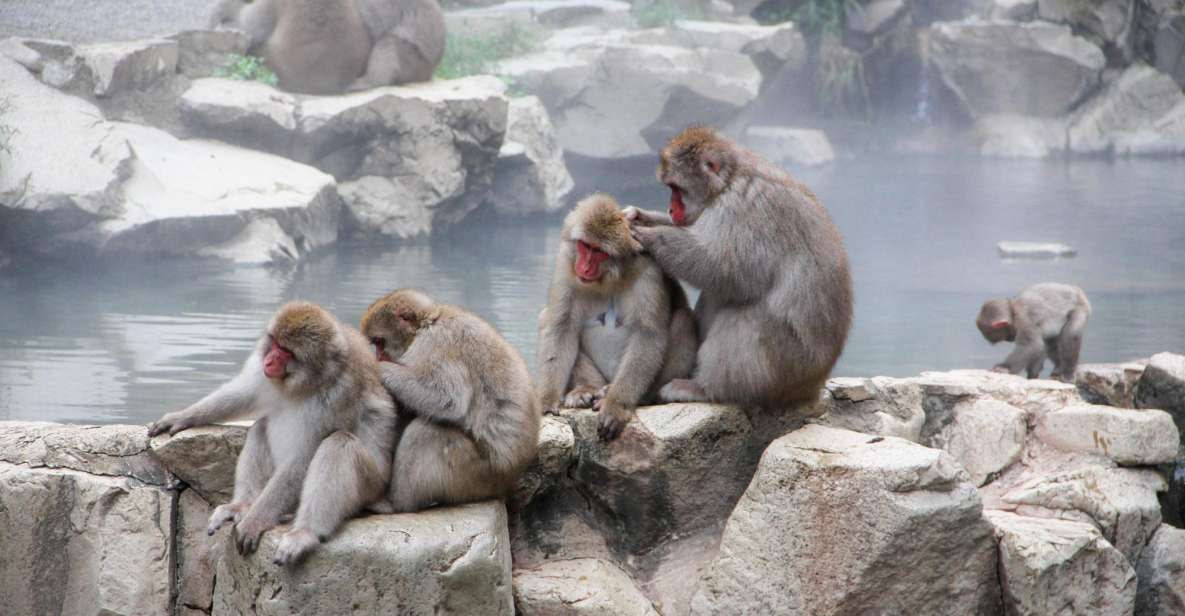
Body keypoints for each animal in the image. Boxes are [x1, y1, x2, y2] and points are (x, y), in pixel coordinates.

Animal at [147, 301, 396, 566]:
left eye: (287, 351)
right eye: (275, 343)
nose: (269, 360)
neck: (309, 382)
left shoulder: (340, 395)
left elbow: (303, 459)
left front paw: (254, 522)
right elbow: (245, 394)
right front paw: (181, 416)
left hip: (372, 484)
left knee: (339, 444)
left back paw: (304, 533)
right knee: (261, 427)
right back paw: (242, 506)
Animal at [360, 289, 540, 512]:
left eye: (379, 342)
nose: (378, 356)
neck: (428, 322)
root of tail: (510, 477)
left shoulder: (435, 343)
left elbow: (448, 399)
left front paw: (380, 369)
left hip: (476, 474)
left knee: (427, 432)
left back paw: (397, 503)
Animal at [536, 193, 698, 440]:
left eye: (598, 252)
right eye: (585, 246)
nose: (583, 268)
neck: (609, 278)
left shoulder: (649, 273)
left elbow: (647, 334)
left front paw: (615, 407)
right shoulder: (566, 263)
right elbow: (561, 327)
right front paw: (546, 401)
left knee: (683, 318)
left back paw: (634, 396)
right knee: (547, 317)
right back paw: (588, 389)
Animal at [625, 125, 854, 410]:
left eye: (676, 188)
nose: (670, 208)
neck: (728, 181)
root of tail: (811, 387)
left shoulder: (745, 210)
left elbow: (723, 268)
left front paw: (648, 234)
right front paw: (638, 215)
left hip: (786, 366)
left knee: (746, 315)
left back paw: (705, 388)